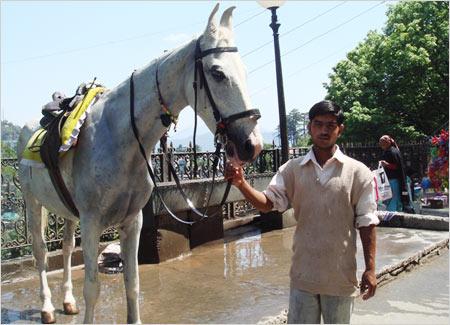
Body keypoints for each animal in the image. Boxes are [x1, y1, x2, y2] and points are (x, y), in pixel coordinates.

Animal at [17, 4, 262, 322]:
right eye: (217, 72)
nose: (252, 145)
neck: (119, 137)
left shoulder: (132, 221)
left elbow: (132, 283)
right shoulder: (92, 222)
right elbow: (92, 289)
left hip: (68, 212)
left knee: (68, 247)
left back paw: (67, 301)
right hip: (33, 203)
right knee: (41, 252)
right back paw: (47, 307)